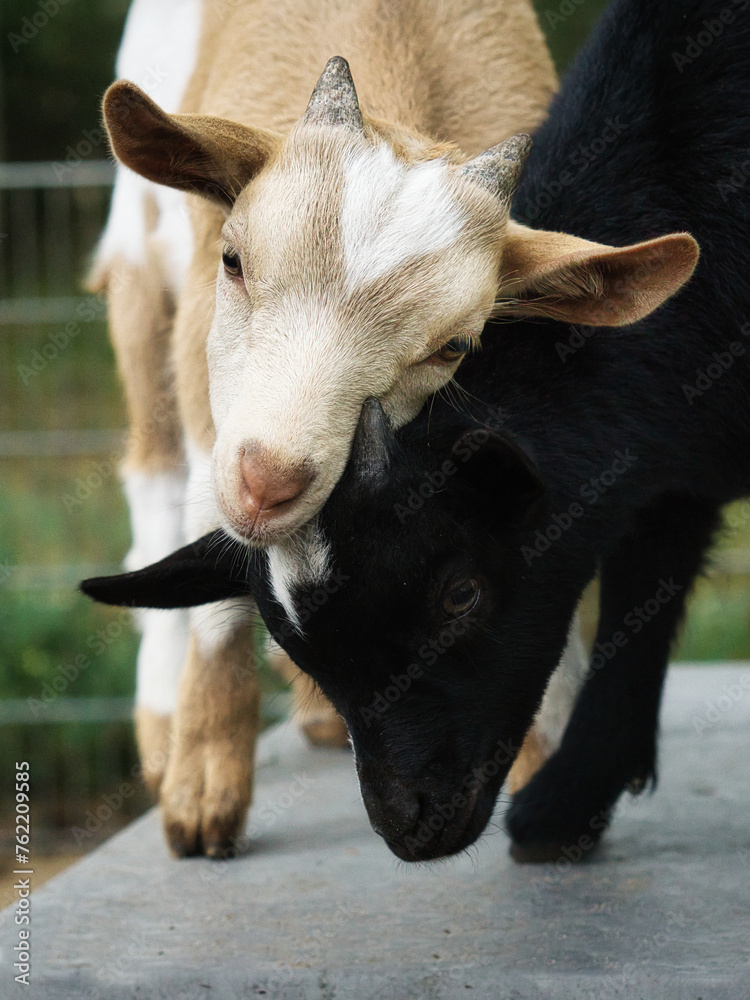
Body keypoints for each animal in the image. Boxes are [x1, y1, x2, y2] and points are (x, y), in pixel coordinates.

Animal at [84, 0, 737, 862]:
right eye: (234, 260)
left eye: (454, 346)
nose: (269, 480)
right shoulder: (205, 358)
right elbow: (211, 543)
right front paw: (204, 789)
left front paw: (541, 768)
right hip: (141, 270)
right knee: (154, 473)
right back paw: (165, 725)